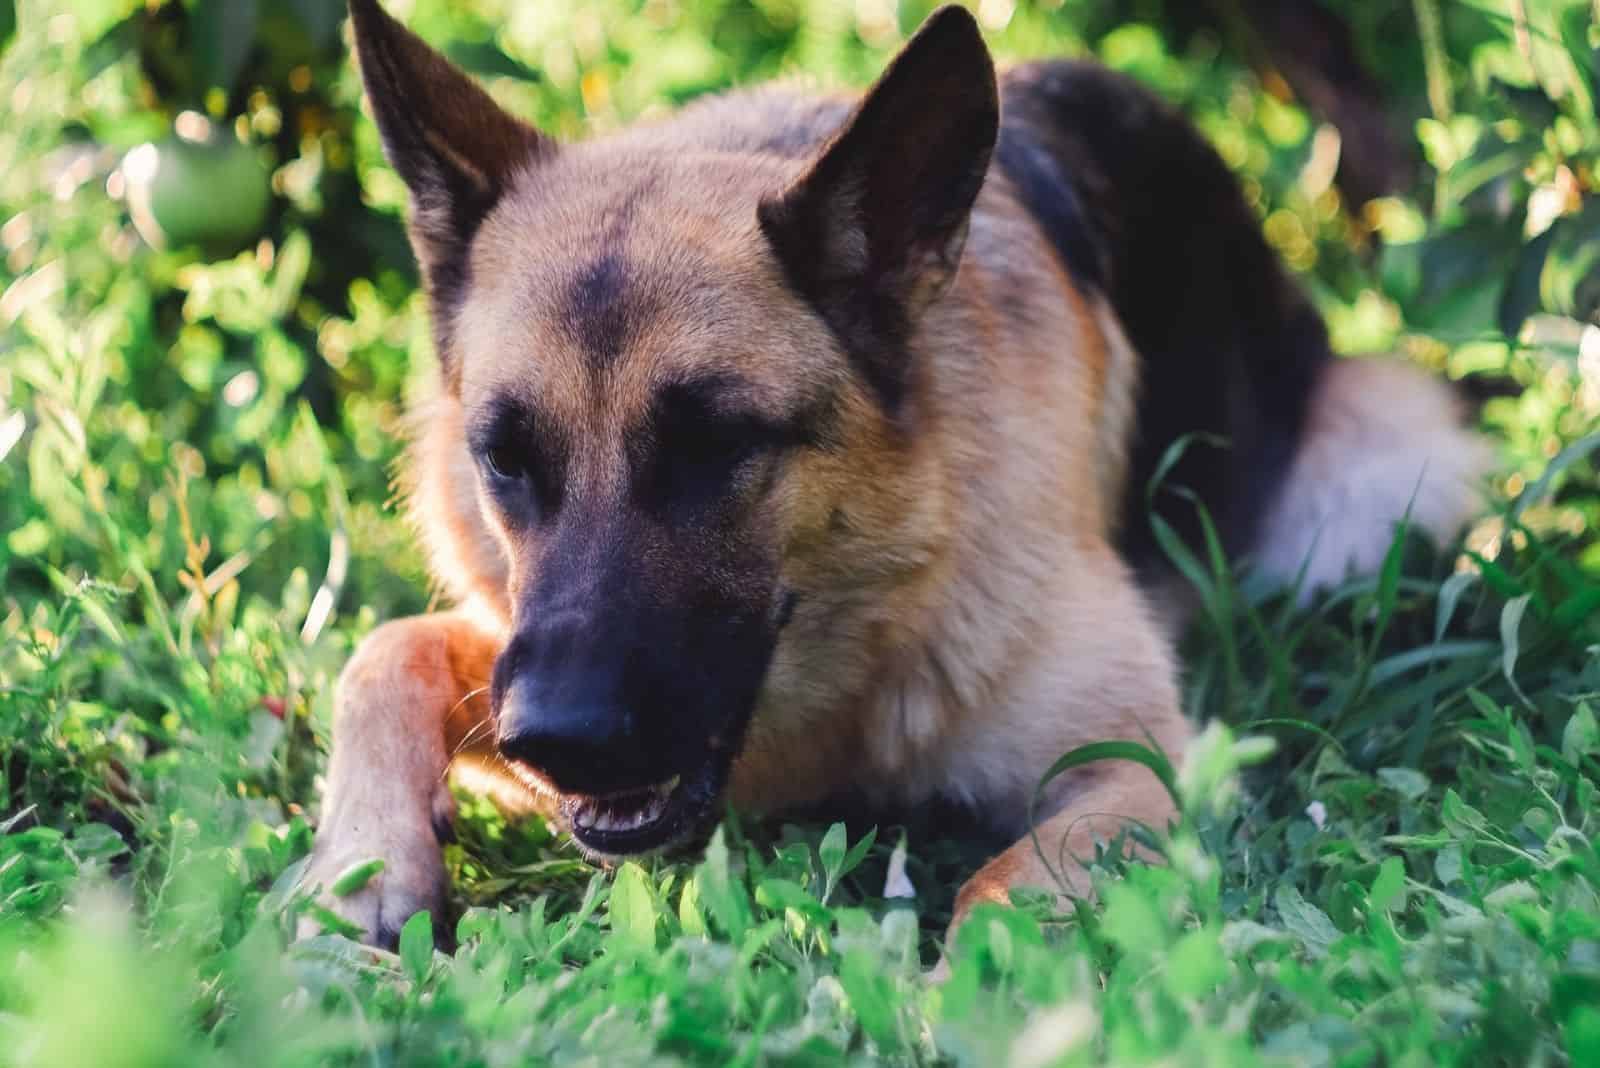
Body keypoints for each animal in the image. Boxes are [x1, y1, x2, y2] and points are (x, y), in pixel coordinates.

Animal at [302, 0, 1484, 952]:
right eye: (506, 458)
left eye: (715, 446)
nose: (557, 740)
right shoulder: (511, 655)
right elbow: (383, 649)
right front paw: (357, 870)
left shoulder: (1137, 770)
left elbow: (1002, 889)